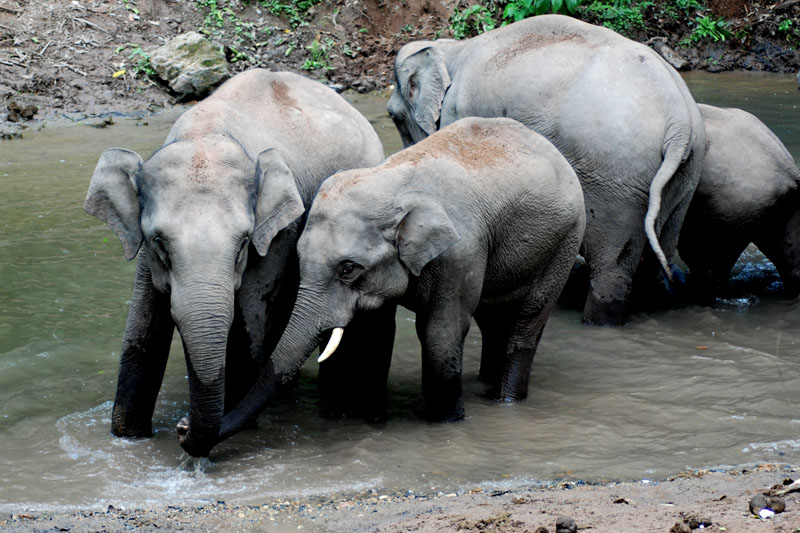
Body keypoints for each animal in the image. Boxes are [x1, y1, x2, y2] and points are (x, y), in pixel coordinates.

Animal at [84, 67, 388, 458]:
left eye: (243, 243)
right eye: (159, 243)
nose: (182, 427)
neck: (205, 133)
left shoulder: (275, 235)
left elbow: (247, 325)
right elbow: (143, 329)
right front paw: (128, 439)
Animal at [388, 14, 708, 326]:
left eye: (393, 116)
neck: (452, 49)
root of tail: (679, 122)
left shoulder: (458, 112)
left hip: (619, 182)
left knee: (612, 269)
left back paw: (596, 321)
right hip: (684, 177)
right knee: (659, 254)